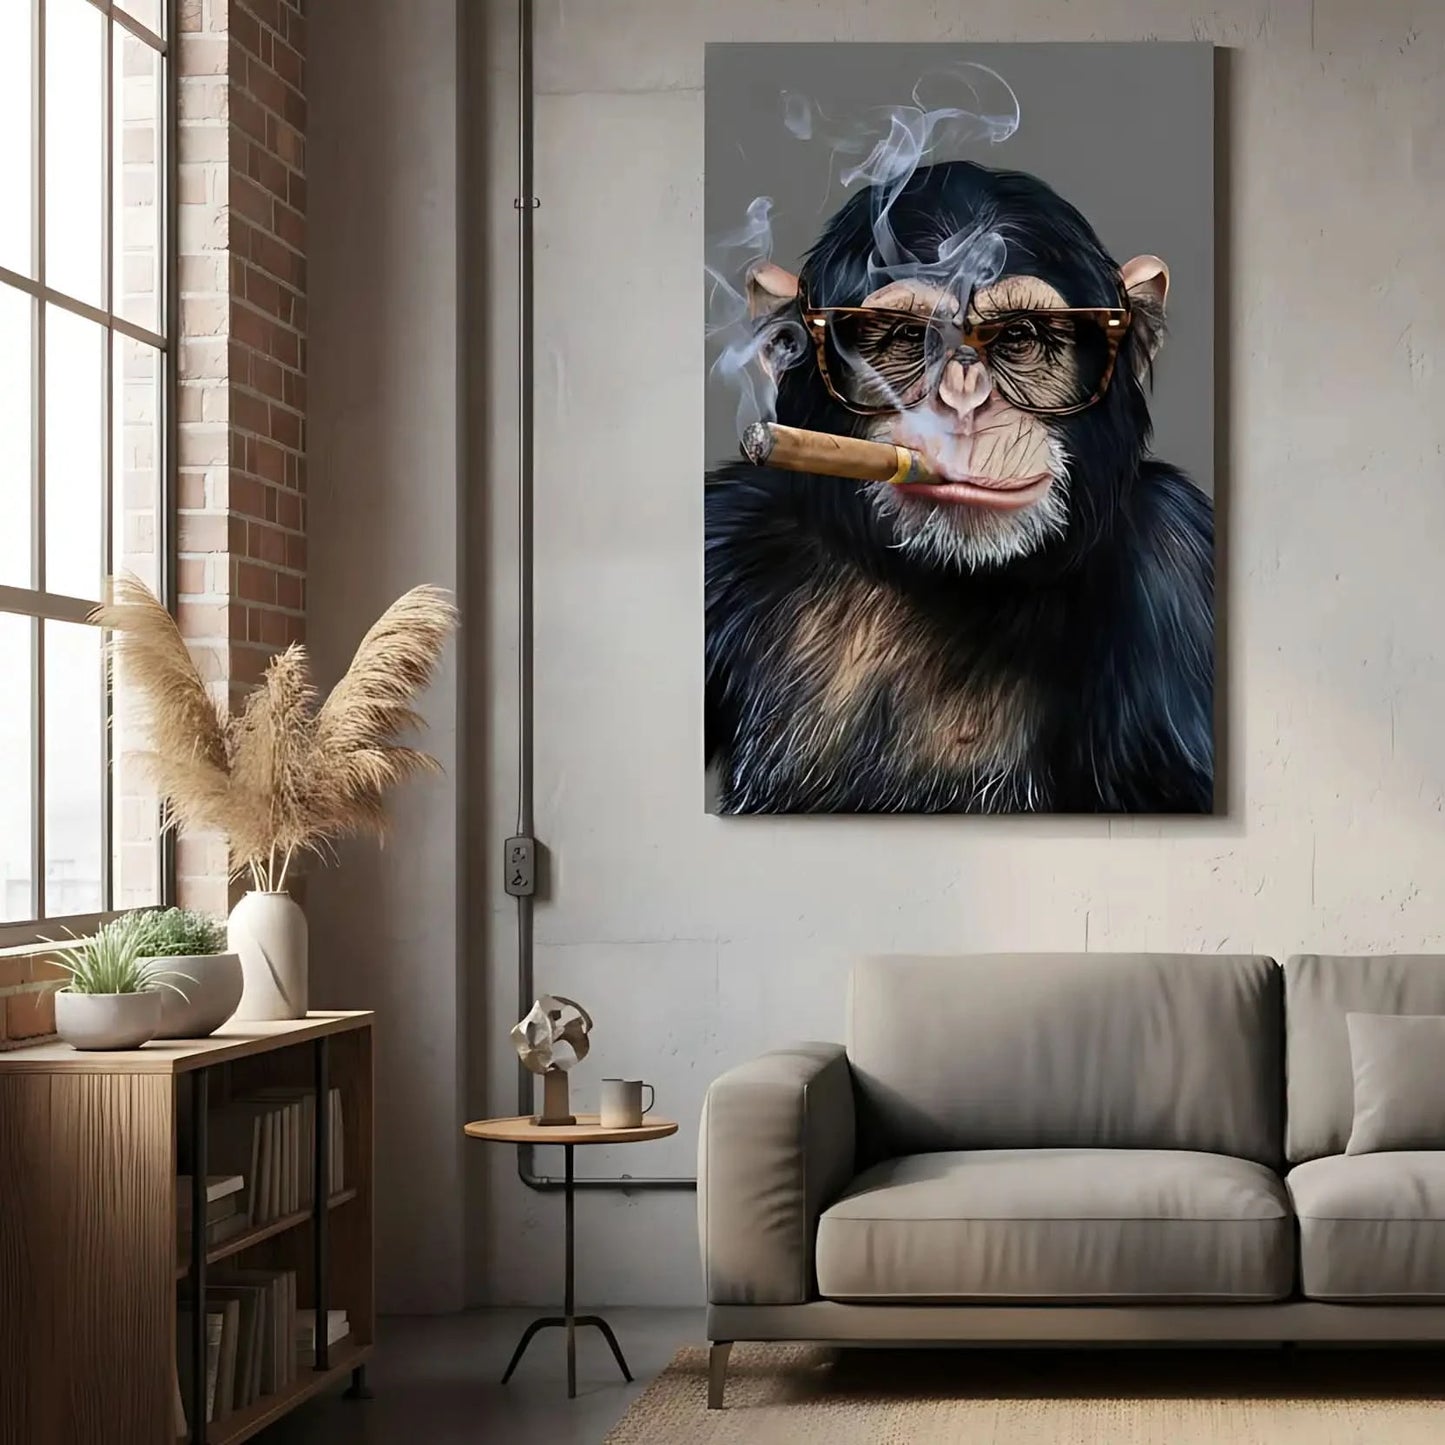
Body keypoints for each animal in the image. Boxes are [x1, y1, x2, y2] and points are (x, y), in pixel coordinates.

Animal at [705, 160, 1213, 814]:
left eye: (1020, 336)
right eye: (905, 337)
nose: (963, 402)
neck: (950, 582)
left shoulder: (1178, 558)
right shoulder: (724, 533)